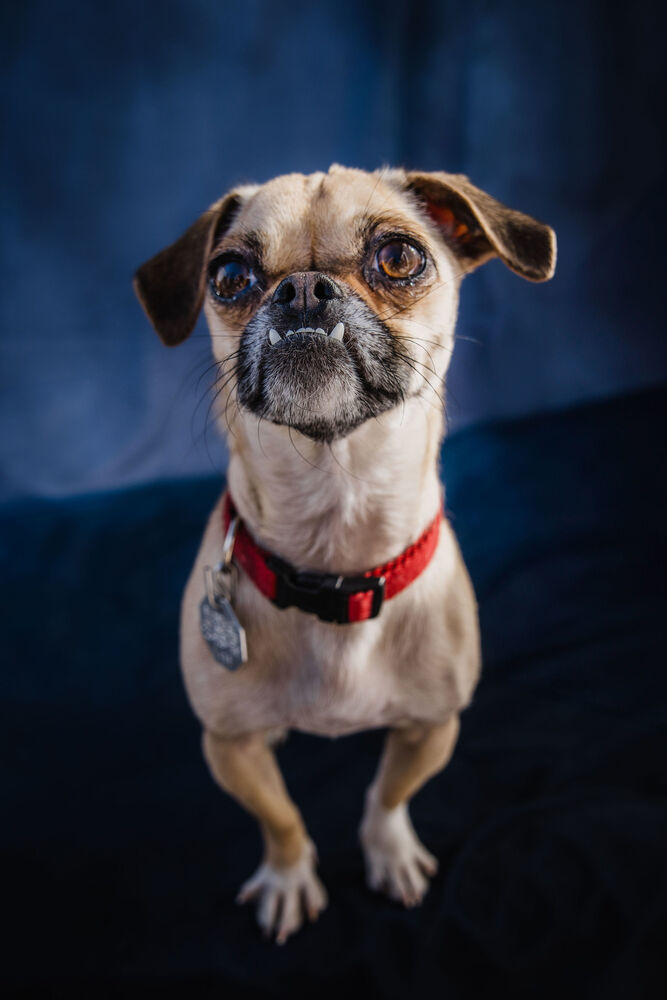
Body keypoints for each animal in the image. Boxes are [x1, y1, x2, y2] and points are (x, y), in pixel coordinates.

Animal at [133, 164, 556, 944]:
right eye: (229, 276)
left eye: (399, 257)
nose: (302, 289)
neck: (337, 540)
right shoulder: (229, 746)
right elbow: (280, 816)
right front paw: (288, 878)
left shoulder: (432, 726)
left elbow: (388, 793)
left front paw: (390, 854)